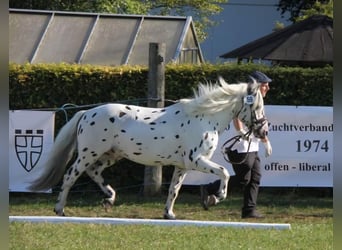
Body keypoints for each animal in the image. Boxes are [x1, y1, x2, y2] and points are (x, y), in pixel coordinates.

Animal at [29, 76, 268, 219]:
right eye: (257, 106)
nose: (263, 131)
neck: (204, 118)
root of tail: (87, 113)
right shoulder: (196, 160)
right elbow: (225, 172)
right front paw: (215, 198)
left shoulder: (183, 166)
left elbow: (174, 189)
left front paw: (169, 214)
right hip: (90, 152)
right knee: (71, 175)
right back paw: (60, 209)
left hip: (111, 155)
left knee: (94, 172)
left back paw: (109, 198)